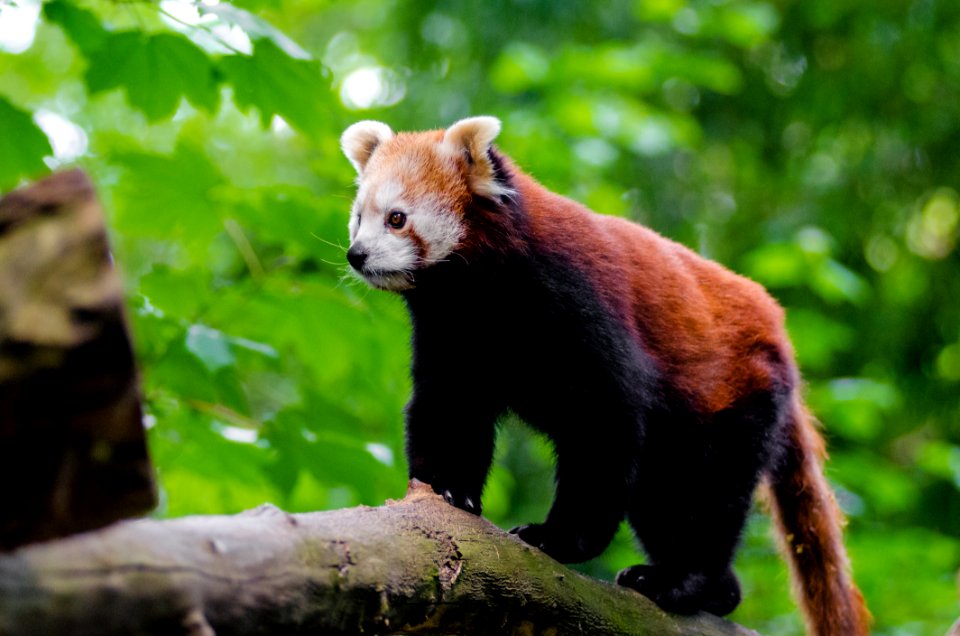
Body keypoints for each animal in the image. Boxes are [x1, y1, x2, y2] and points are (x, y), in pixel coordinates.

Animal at [340, 117, 872, 632]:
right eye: (359, 218)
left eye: (396, 218)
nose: (356, 255)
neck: (479, 290)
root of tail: (778, 333)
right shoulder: (453, 335)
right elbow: (448, 406)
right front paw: (446, 488)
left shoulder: (575, 302)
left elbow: (605, 421)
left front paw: (559, 538)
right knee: (663, 498)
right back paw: (713, 590)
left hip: (737, 397)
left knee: (708, 500)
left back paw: (685, 582)